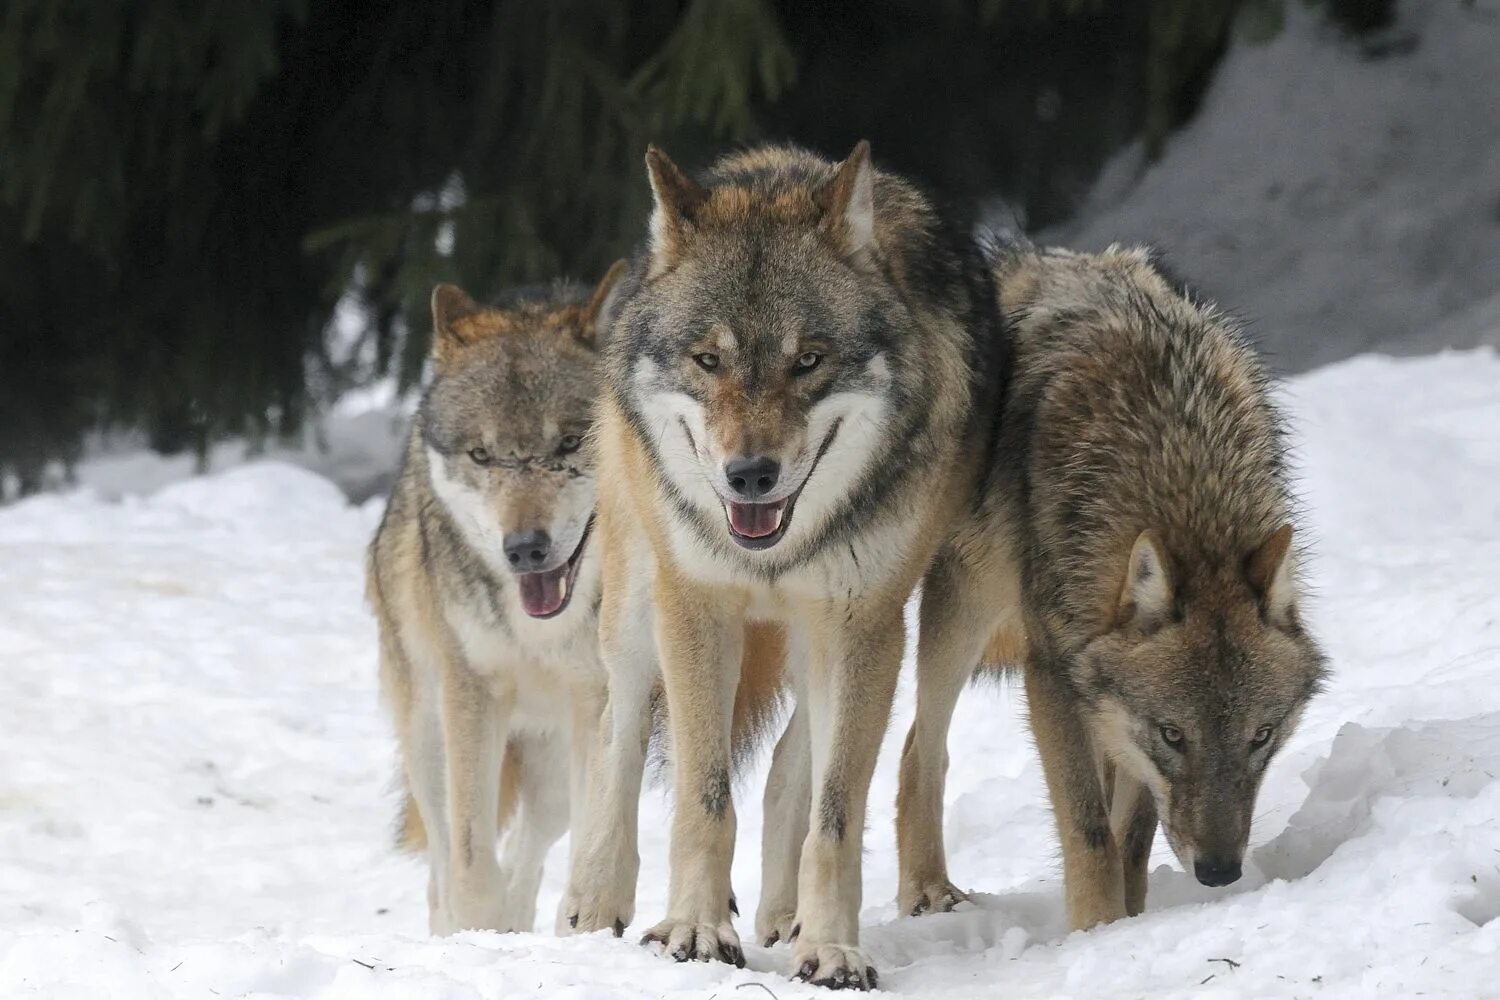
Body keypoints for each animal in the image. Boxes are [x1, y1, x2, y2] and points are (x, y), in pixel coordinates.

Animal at [558, 140, 1002, 995]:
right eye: (707, 359)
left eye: (808, 361)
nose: (750, 475)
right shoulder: (697, 609)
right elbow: (702, 800)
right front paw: (694, 930)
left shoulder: (864, 625)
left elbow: (834, 812)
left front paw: (830, 948)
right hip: (635, 610)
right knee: (613, 735)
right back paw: (594, 903)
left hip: (840, 635)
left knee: (794, 763)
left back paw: (785, 915)